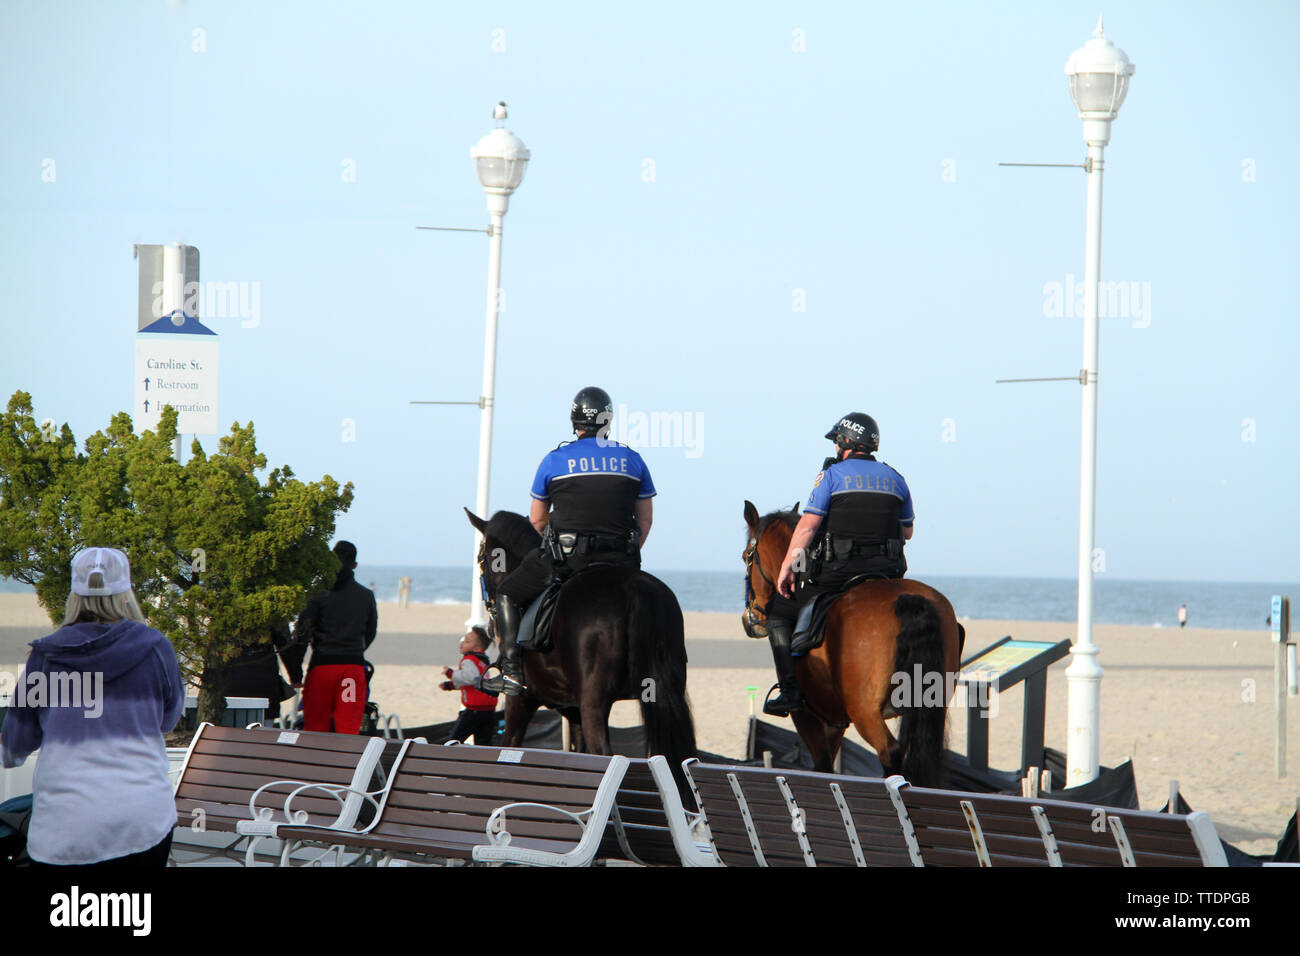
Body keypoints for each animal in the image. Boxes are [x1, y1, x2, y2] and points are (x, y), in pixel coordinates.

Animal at [462, 512, 696, 790]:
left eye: (482, 559)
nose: (490, 625)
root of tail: (633, 587)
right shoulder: (572, 711)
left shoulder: (520, 703)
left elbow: (510, 747)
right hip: (666, 696)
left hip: (593, 704)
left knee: (604, 753)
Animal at [743, 502, 967, 785]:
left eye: (746, 557)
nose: (751, 619)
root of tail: (907, 598)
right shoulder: (835, 721)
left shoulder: (808, 716)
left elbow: (824, 766)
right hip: (930, 707)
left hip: (865, 713)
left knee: (891, 752)